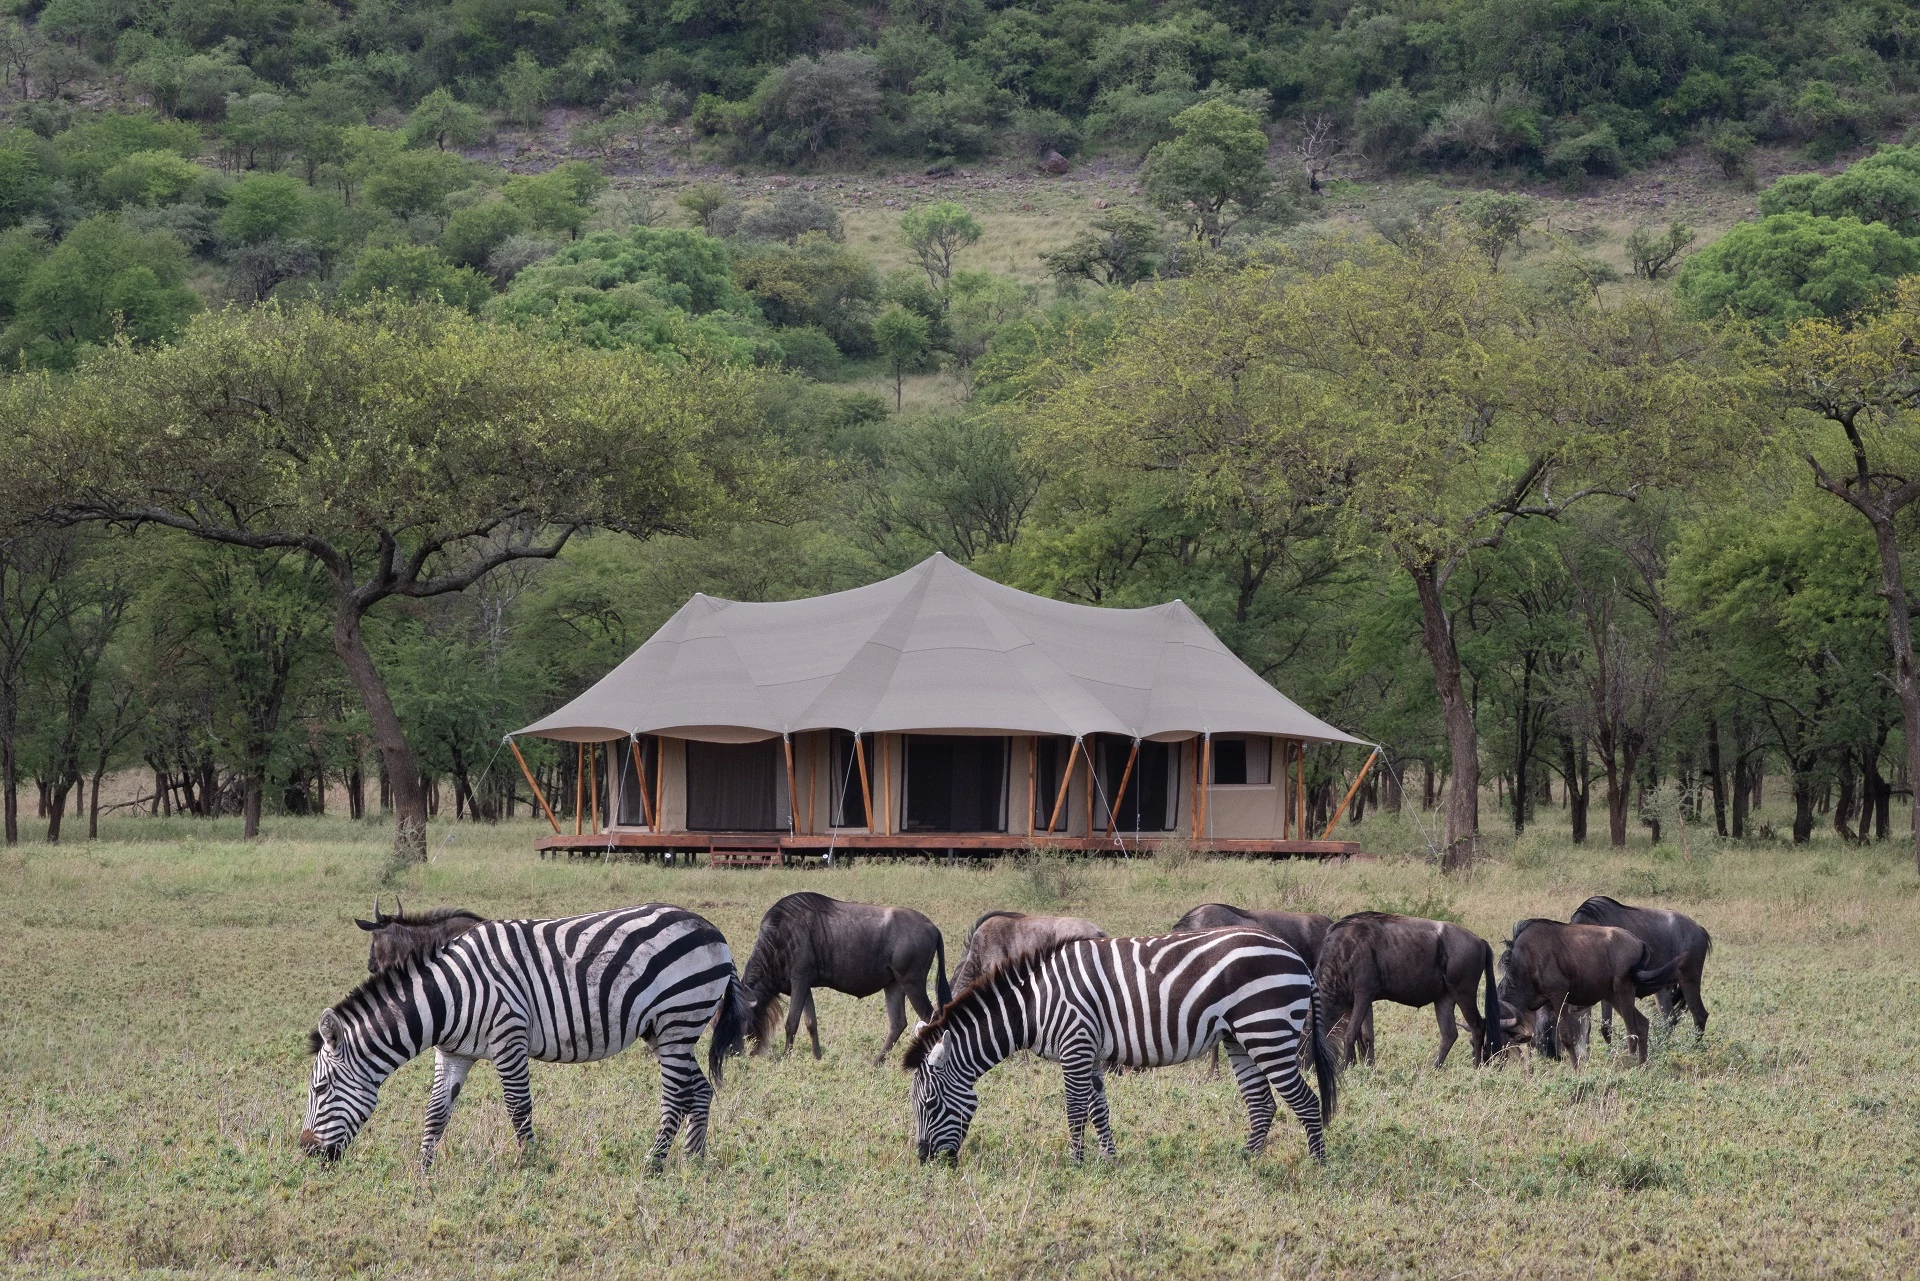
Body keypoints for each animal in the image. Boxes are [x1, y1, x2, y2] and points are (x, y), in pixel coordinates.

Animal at [301, 903, 748, 1170]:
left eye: (320, 1089)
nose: (306, 1153)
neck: (448, 997)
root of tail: (712, 930)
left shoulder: (509, 1037)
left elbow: (518, 1107)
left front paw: (531, 1164)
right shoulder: (453, 1054)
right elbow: (436, 1112)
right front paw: (423, 1171)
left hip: (678, 1021)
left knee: (675, 1096)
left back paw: (652, 1165)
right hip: (665, 1030)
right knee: (700, 1090)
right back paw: (693, 1161)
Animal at [904, 927, 1338, 1164]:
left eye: (930, 1103)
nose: (925, 1160)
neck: (1033, 1005)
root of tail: (1297, 958)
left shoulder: (1075, 1043)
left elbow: (1074, 1109)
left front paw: (1076, 1163)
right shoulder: (1090, 1050)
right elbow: (1099, 1109)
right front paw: (1108, 1159)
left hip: (1268, 1031)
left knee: (1305, 1101)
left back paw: (1317, 1165)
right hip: (1241, 1038)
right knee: (1262, 1104)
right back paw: (1248, 1160)